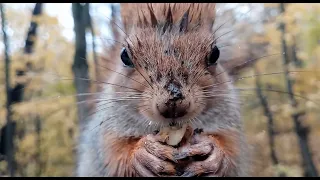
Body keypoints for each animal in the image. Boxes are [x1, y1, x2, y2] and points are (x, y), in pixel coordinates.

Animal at [77, 3, 250, 177]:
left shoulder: (229, 125)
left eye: (215, 54)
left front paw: (213, 154)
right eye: (124, 56)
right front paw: (144, 153)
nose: (174, 104)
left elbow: (233, 152)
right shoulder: (107, 132)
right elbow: (114, 157)